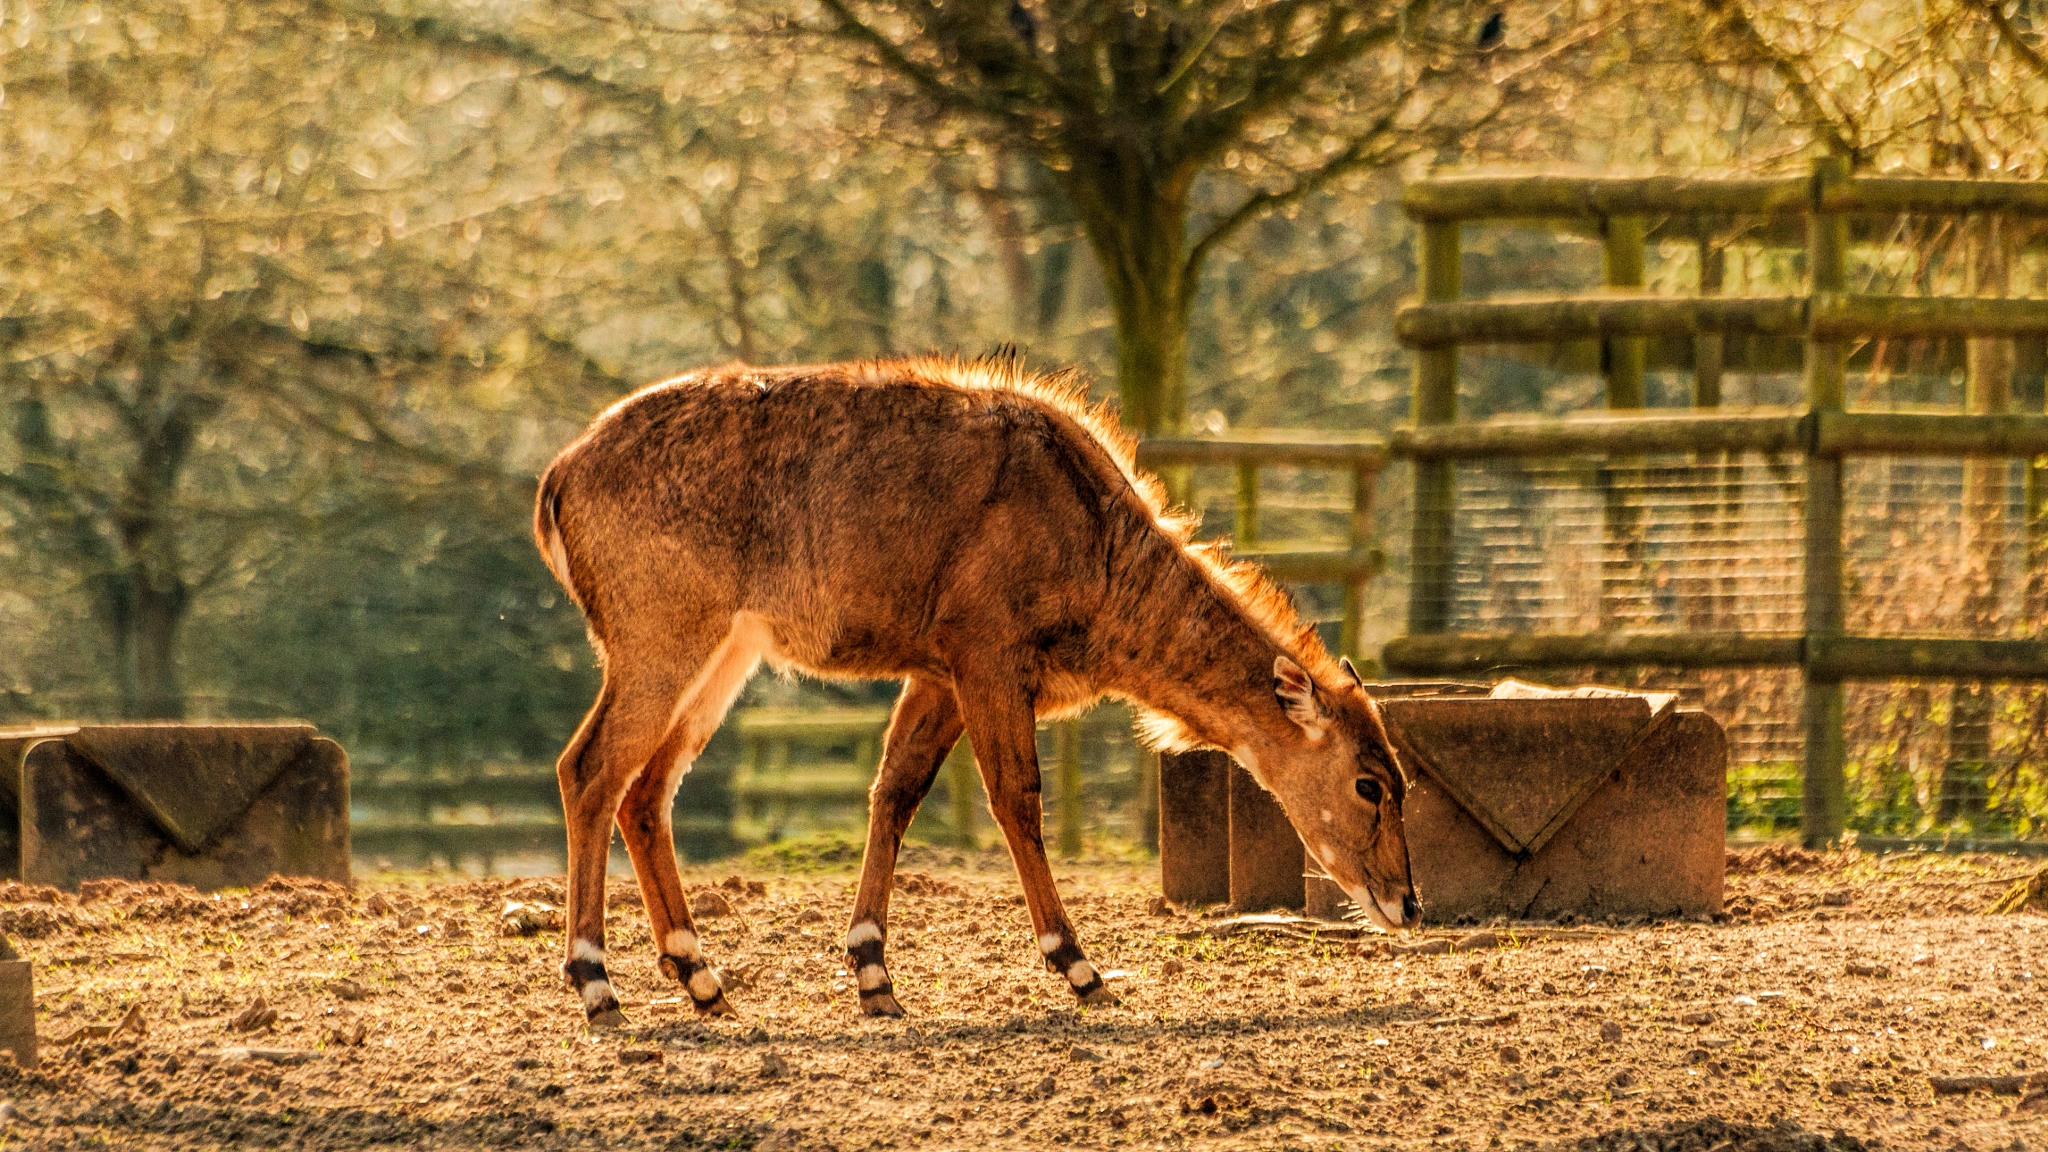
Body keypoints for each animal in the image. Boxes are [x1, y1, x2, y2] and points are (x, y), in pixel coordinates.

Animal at [533, 354, 1420, 1024]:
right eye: (1369, 782)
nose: (1407, 904)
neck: (1098, 544)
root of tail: (558, 479)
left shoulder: (936, 675)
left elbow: (894, 792)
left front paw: (874, 975)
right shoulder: (987, 654)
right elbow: (1016, 798)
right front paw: (1080, 968)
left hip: (726, 653)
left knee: (647, 791)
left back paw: (702, 978)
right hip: (660, 640)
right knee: (590, 768)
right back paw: (597, 984)